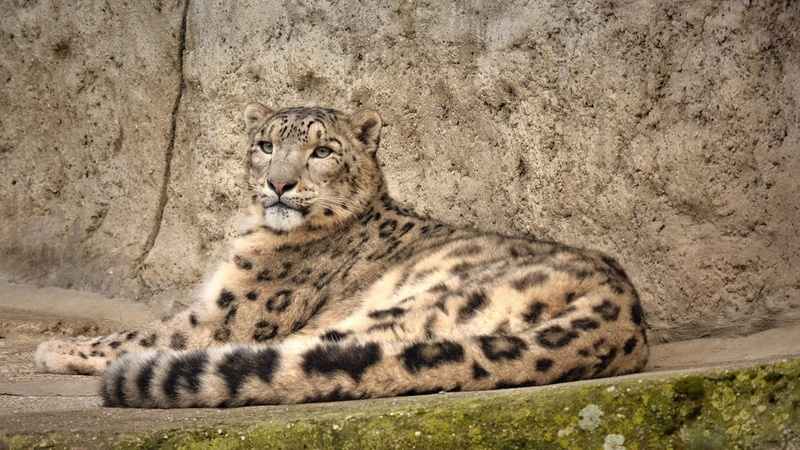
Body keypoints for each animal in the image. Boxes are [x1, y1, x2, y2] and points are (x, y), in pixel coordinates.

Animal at [35, 103, 649, 408]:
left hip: (395, 310)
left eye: (323, 151)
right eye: (265, 145)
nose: (279, 184)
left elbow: (143, 333)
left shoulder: (226, 314)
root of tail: (622, 314)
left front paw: (56, 347)